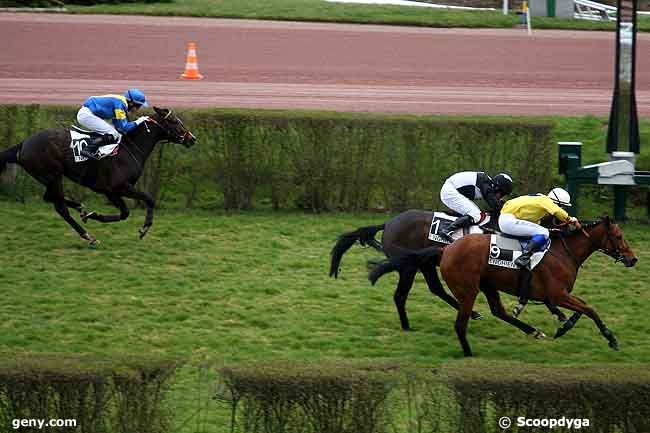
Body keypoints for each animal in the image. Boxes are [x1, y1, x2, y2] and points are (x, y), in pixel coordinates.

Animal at [0, 106, 195, 245]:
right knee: (59, 206)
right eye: (174, 121)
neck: (129, 149)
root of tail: (23, 144)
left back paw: (80, 208)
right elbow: (148, 199)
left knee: (51, 198)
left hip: (48, 178)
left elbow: (124, 213)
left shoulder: (111, 192)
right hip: (52, 175)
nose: (192, 138)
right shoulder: (117, 187)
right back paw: (88, 236)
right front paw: (144, 228)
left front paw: (92, 214)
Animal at [330, 209, 568, 330]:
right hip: (409, 267)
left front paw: (560, 313)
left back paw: (472, 313)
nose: (561, 230)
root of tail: (388, 224)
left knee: (436, 288)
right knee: (401, 295)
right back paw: (407, 326)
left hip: (424, 264)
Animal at [368, 215, 636, 354]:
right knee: (457, 320)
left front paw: (563, 326)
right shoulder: (557, 294)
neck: (564, 252)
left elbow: (580, 309)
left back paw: (533, 330)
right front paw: (611, 339)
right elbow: (589, 309)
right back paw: (468, 350)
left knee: (498, 311)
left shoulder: (557, 295)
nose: (633, 259)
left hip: (486, 284)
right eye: (619, 236)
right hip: (466, 288)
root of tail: (446, 249)